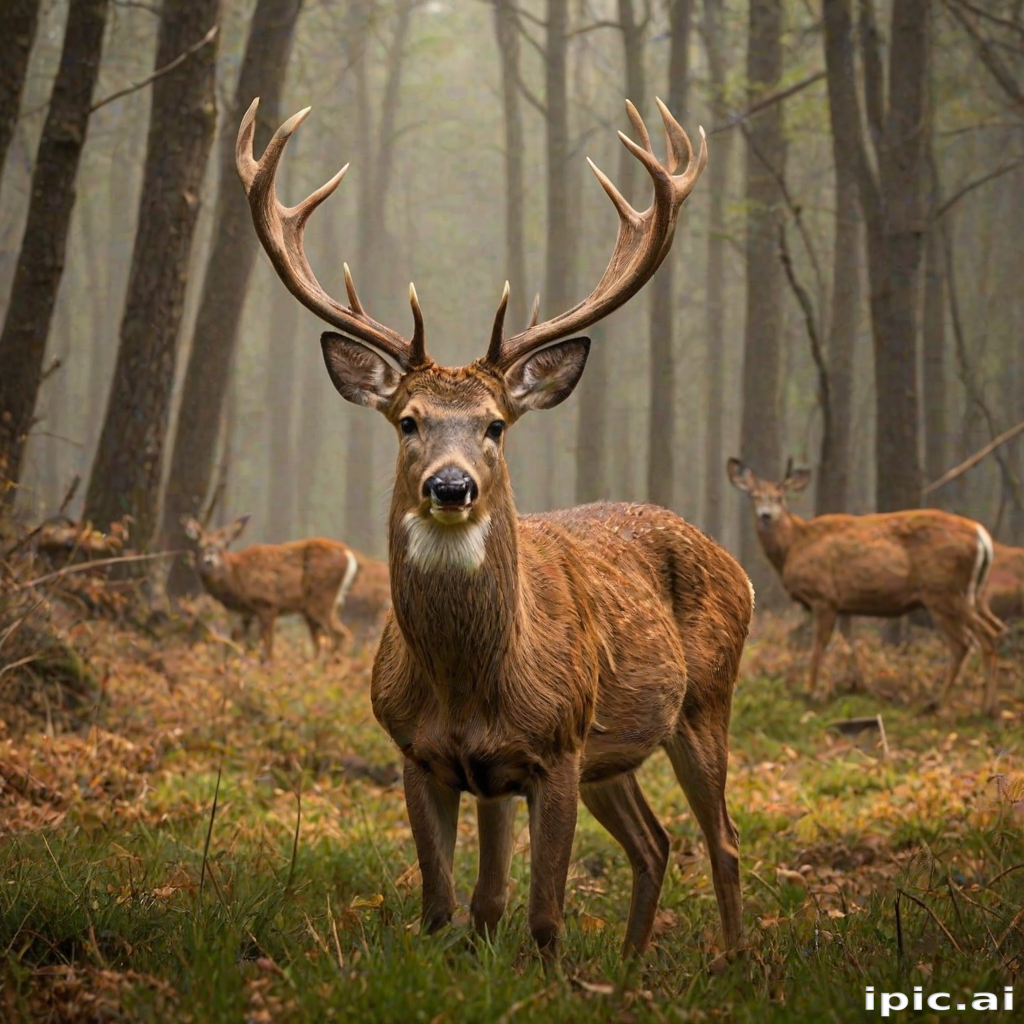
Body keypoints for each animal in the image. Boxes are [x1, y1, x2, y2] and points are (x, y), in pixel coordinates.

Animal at [181, 515, 358, 662]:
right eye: (200, 546)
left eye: (223, 546)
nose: (209, 560)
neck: (237, 580)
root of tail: (348, 554)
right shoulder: (247, 613)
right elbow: (241, 645)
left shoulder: (267, 603)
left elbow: (267, 648)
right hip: (317, 608)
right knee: (322, 641)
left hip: (320, 599)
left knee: (340, 634)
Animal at [236, 96, 754, 961]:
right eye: (407, 421)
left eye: (496, 425)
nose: (452, 486)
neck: (470, 684)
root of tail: (739, 566)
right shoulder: (428, 757)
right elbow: (455, 905)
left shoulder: (556, 749)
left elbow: (541, 916)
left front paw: (544, 971)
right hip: (615, 754)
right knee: (654, 843)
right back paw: (628, 965)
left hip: (704, 702)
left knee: (723, 839)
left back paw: (735, 963)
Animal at [727, 459, 1005, 716]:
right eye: (754, 496)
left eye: (780, 497)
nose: (766, 515)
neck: (794, 544)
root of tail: (981, 535)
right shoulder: (845, 604)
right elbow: (850, 644)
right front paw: (856, 685)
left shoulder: (824, 596)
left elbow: (819, 645)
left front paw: (811, 690)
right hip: (968, 593)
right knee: (993, 629)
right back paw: (982, 705)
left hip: (943, 592)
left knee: (971, 640)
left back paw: (952, 704)